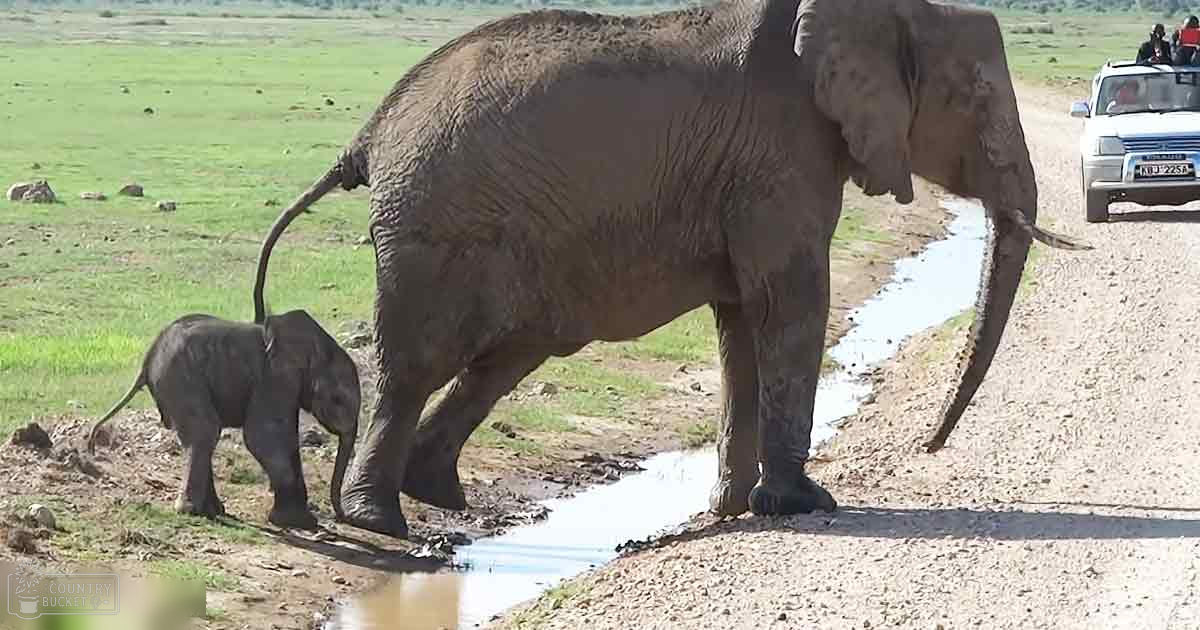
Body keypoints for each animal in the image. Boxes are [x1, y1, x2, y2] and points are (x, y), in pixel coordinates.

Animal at [86, 311, 360, 530]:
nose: (342, 518)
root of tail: (147, 360)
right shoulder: (273, 379)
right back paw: (194, 512)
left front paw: (300, 521)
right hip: (181, 377)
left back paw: (213, 511)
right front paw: (299, 523)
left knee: (202, 437)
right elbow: (263, 438)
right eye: (338, 399)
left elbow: (287, 440)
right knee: (205, 432)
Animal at [251, 0, 1087, 539]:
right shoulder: (782, 154)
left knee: (511, 355)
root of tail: (369, 134)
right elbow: (790, 303)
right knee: (420, 363)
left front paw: (733, 511)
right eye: (977, 97)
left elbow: (744, 320)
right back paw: (382, 521)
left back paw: (434, 495)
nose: (930, 447)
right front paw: (805, 505)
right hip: (436, 225)